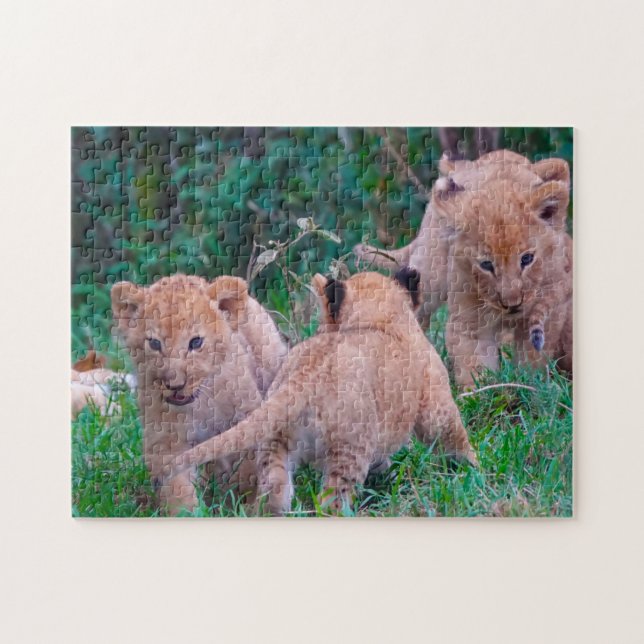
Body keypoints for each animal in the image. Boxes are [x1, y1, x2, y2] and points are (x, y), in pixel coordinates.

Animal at [111, 274, 287, 515]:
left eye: (196, 342)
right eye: (154, 343)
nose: (175, 385)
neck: (201, 403)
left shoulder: (246, 420)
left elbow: (248, 470)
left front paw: (246, 506)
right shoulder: (165, 439)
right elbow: (177, 486)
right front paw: (188, 513)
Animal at [163, 269, 478, 516]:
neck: (378, 319)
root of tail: (304, 378)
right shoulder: (435, 398)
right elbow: (454, 435)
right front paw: (473, 468)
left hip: (274, 443)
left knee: (274, 492)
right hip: (349, 448)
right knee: (333, 502)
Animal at [354, 150, 572, 387]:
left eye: (527, 259)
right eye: (486, 264)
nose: (512, 304)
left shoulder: (550, 308)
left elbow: (532, 358)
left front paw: (528, 384)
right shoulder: (468, 319)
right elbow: (474, 364)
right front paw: (487, 391)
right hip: (428, 277)